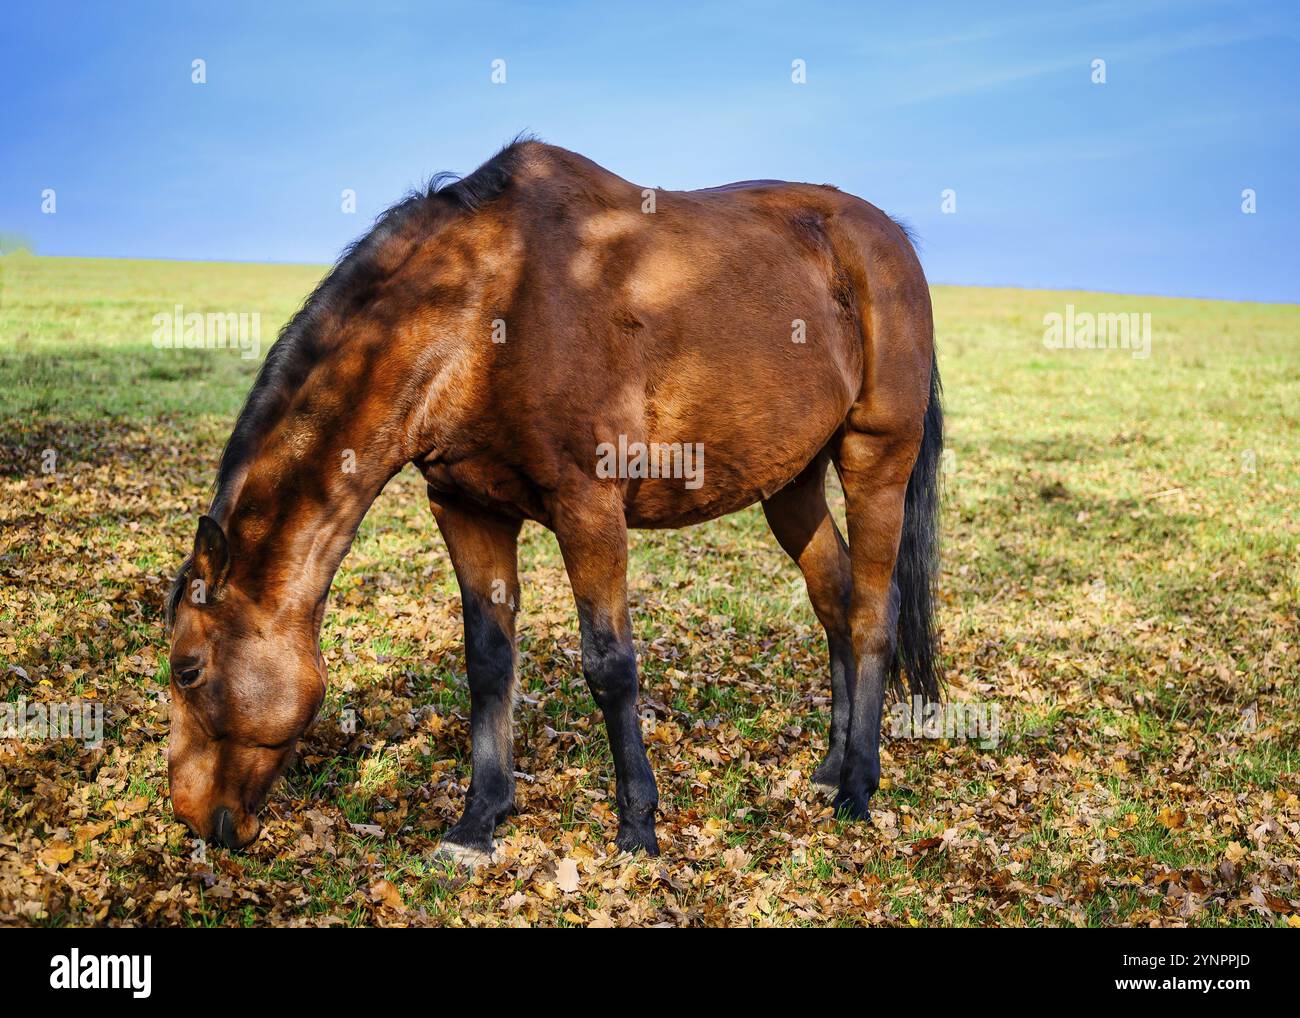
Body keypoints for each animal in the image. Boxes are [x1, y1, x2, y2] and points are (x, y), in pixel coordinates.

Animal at [162, 139, 941, 863]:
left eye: (187, 669)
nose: (195, 821)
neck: (484, 306)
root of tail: (889, 238)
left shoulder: (587, 508)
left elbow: (609, 665)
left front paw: (638, 827)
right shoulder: (466, 508)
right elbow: (488, 661)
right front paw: (479, 822)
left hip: (875, 460)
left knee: (872, 614)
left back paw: (858, 787)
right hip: (790, 484)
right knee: (834, 600)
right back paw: (831, 766)